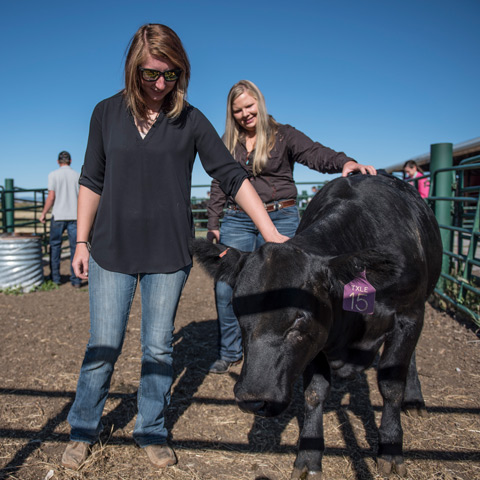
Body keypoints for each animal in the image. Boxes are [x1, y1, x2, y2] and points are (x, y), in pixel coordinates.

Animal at [193, 173, 440, 480]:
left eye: (300, 316)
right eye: (238, 309)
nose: (252, 398)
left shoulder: (408, 315)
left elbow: (391, 385)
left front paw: (391, 450)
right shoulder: (318, 341)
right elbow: (314, 393)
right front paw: (309, 456)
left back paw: (414, 400)